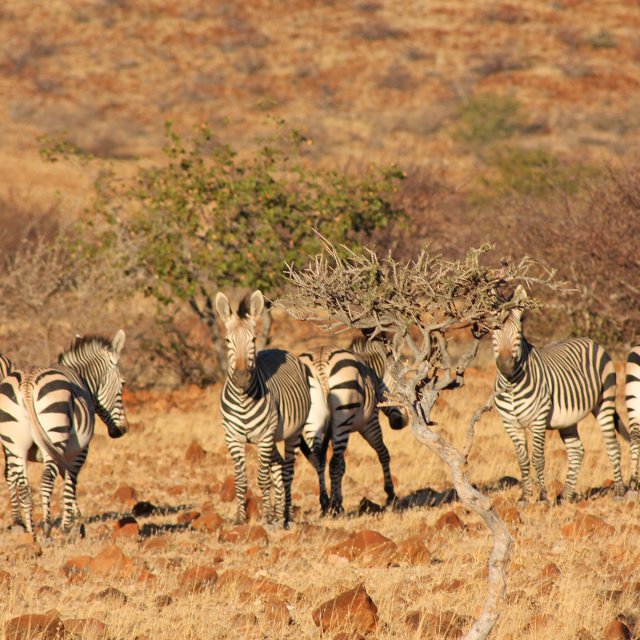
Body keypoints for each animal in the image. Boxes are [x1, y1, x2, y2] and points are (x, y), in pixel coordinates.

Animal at [0, 332, 129, 536]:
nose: (120, 431)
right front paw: (69, 526)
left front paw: (77, 519)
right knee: (46, 480)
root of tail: (28, 382)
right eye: (123, 383)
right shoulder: (79, 450)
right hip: (54, 437)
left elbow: (65, 477)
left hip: (14, 446)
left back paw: (29, 531)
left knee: (21, 484)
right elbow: (71, 480)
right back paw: (46, 528)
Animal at [216, 292, 314, 528]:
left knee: (287, 472)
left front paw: (267, 517)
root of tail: (279, 349)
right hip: (274, 436)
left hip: (292, 433)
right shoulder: (232, 438)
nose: (241, 378)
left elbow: (262, 478)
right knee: (278, 469)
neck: (243, 399)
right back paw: (278, 514)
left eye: (253, 340)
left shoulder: (264, 437)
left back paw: (285, 516)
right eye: (227, 340)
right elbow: (241, 479)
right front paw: (240, 518)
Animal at [298, 340, 404, 516]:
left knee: (319, 460)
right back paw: (333, 508)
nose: (400, 423)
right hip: (343, 417)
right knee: (333, 463)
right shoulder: (370, 423)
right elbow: (383, 453)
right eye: (400, 387)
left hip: (314, 421)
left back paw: (325, 504)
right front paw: (390, 495)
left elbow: (342, 466)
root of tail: (320, 363)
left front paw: (338, 501)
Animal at [496, 288, 624, 508]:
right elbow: (522, 460)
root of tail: (589, 340)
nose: (505, 365)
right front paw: (524, 498)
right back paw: (565, 496)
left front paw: (542, 497)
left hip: (605, 401)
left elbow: (538, 459)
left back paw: (619, 491)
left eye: (518, 334)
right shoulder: (510, 424)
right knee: (576, 451)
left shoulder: (538, 420)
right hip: (568, 419)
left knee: (613, 446)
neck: (511, 384)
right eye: (493, 332)